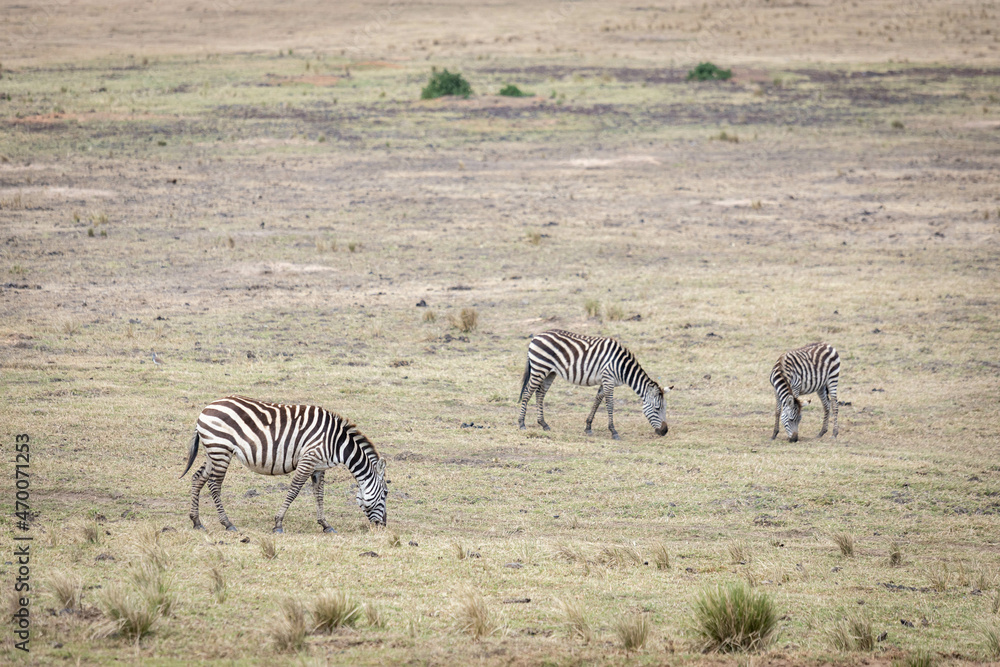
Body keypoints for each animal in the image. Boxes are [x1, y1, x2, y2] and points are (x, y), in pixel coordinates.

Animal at [181, 396, 388, 533]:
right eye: (386, 493)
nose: (383, 526)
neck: (336, 442)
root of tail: (206, 409)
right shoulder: (308, 459)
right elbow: (294, 490)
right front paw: (278, 524)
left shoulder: (318, 467)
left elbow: (319, 495)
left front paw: (325, 525)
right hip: (220, 449)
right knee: (214, 485)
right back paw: (227, 523)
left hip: (213, 451)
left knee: (198, 478)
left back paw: (196, 522)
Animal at [518, 329, 669, 440]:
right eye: (656, 408)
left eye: (664, 408)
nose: (665, 431)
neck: (622, 367)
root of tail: (536, 337)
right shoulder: (608, 379)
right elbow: (610, 405)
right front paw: (613, 431)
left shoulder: (605, 381)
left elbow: (597, 401)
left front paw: (588, 427)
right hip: (539, 368)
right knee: (527, 392)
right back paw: (521, 423)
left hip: (550, 372)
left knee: (540, 394)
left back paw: (543, 424)